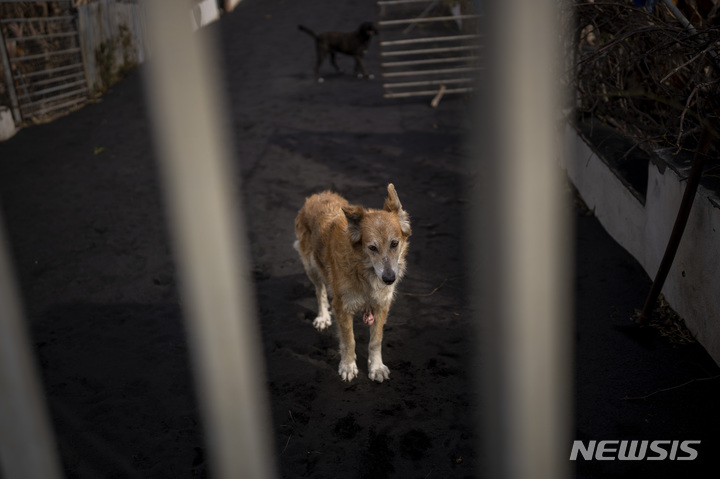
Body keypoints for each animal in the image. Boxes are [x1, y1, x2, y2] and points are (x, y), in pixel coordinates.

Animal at [296, 184, 414, 382]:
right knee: (319, 291)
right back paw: (323, 317)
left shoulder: (381, 305)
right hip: (311, 266)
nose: (389, 279)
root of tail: (318, 195)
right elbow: (349, 340)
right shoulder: (342, 307)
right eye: (372, 247)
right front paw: (348, 366)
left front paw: (376, 368)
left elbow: (375, 340)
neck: (364, 271)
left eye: (394, 243)